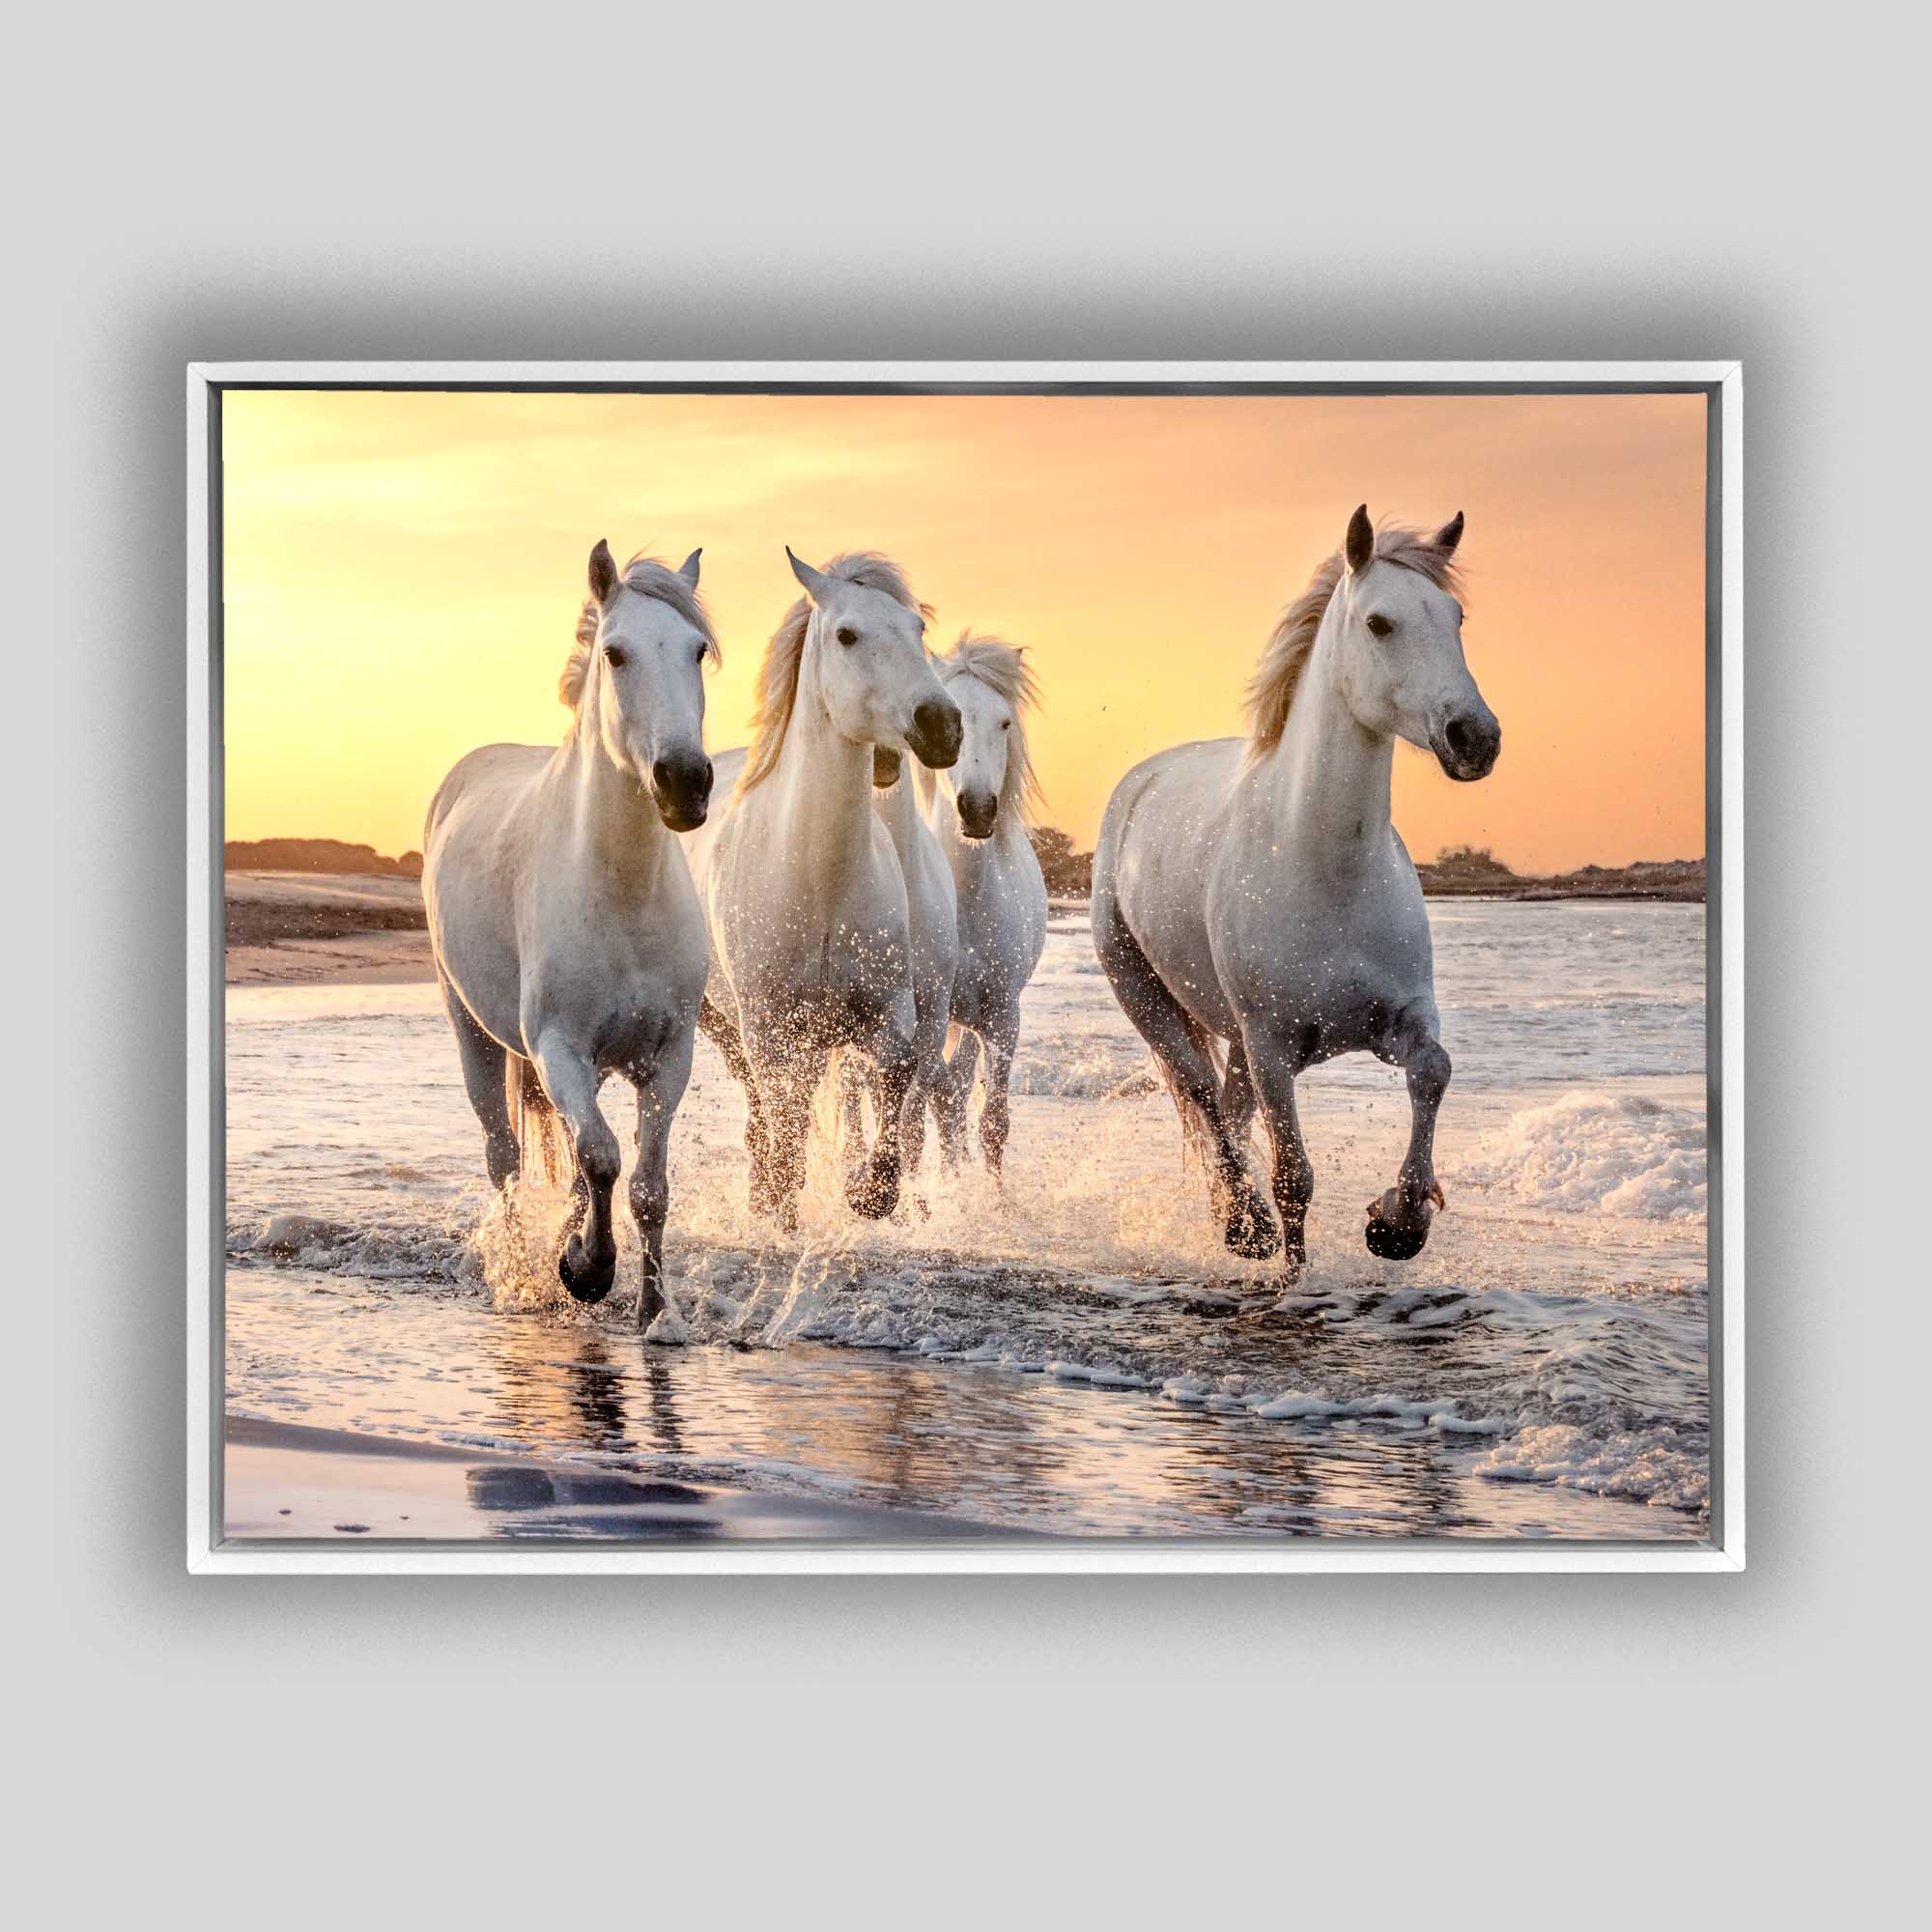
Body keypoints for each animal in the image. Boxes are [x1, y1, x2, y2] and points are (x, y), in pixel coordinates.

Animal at [423, 542, 717, 1329]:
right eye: (615, 653)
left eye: (697, 650)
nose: (685, 781)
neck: (622, 893)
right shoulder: (559, 1046)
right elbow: (604, 1159)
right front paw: (585, 1269)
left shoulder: (668, 1056)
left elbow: (645, 1185)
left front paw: (654, 1312)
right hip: (473, 1030)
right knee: (505, 1157)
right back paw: (522, 1271)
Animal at [680, 550, 962, 1231]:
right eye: (847, 635)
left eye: (917, 629)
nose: (942, 725)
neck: (819, 879)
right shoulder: (768, 1026)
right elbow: (785, 1120)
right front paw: (781, 1205)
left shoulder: (889, 1011)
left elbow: (896, 1075)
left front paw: (871, 1191)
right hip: (725, 1024)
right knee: (767, 1112)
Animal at [1090, 507, 1501, 1280]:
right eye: (1379, 623)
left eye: (1456, 616)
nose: (1475, 737)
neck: (1324, 869)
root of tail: (1139, 783)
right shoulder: (1273, 1044)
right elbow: (1293, 1178)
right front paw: (1293, 1273)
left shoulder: (1399, 1018)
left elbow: (1433, 1071)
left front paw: (1398, 1222)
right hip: (1153, 1001)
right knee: (1204, 1100)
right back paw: (1242, 1225)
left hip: (1238, 1040)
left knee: (1227, 1109)